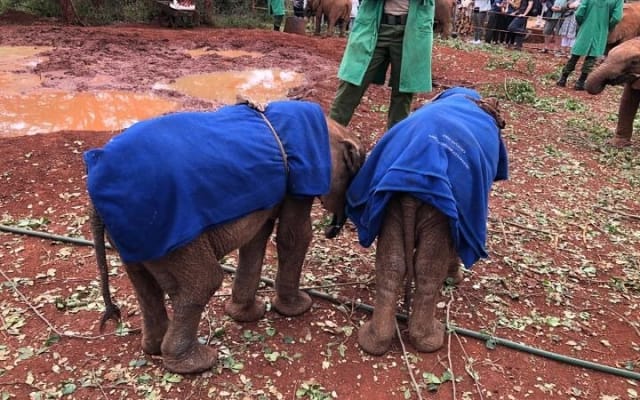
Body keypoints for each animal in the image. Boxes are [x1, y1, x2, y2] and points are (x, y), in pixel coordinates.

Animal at [85, 100, 365, 374]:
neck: (333, 128)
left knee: (144, 284)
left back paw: (154, 348)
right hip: (167, 231)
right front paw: (299, 308)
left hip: (133, 235)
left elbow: (256, 237)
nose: (334, 229)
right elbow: (294, 236)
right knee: (203, 281)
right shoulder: (302, 176)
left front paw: (247, 315)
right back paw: (197, 363)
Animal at [345, 87, 509, 355]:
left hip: (390, 202)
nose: (503, 123)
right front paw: (454, 280)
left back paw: (373, 342)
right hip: (436, 208)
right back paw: (430, 340)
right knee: (428, 268)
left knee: (391, 265)